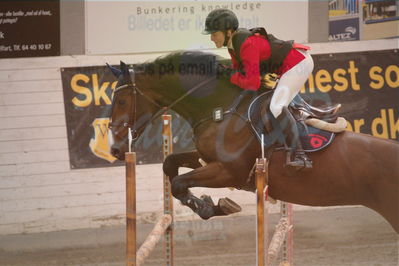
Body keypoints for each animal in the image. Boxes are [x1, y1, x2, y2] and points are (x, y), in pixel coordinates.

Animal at [108, 51, 399, 233]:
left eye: (121, 101)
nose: (115, 149)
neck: (220, 108)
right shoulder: (207, 159)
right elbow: (170, 165)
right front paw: (209, 204)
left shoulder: (228, 172)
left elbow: (179, 182)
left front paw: (210, 207)